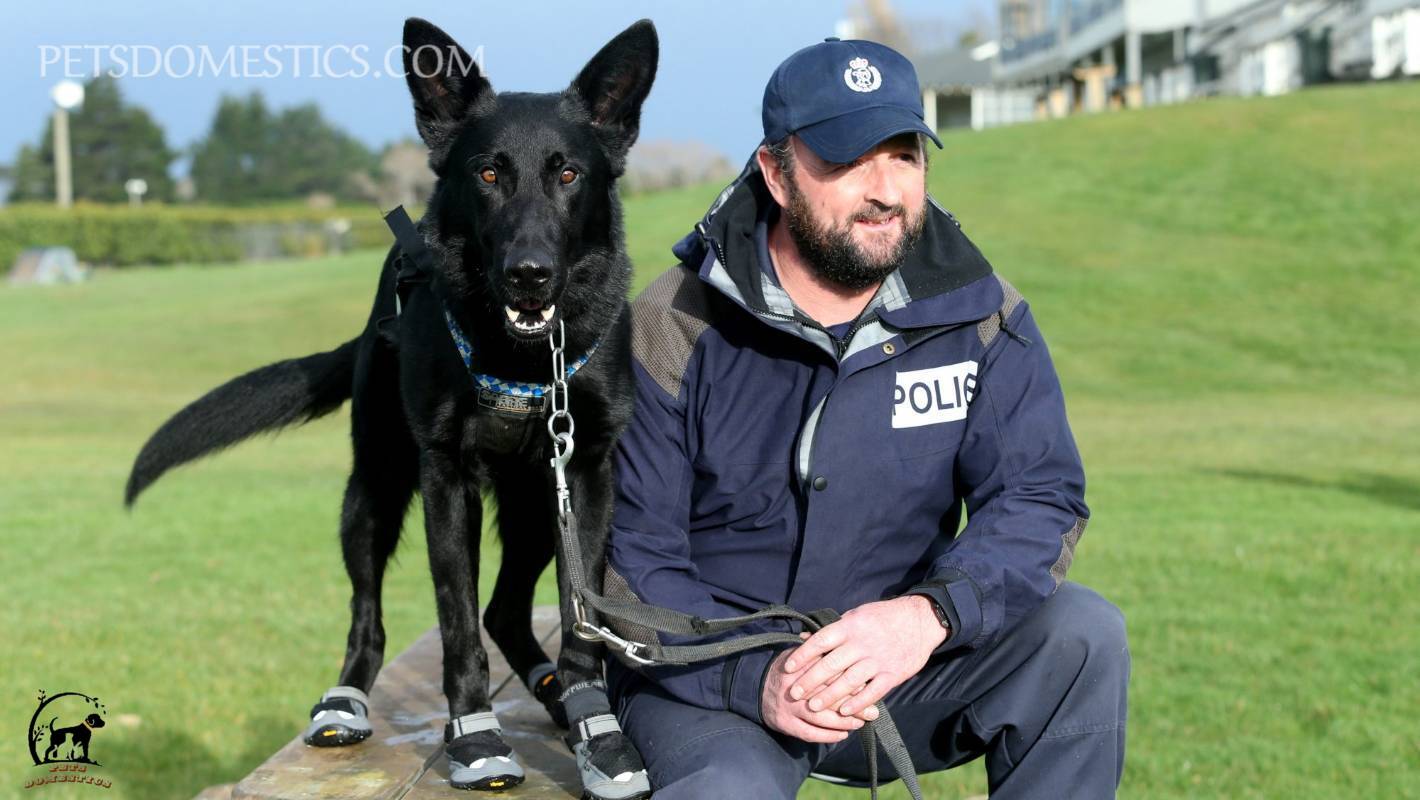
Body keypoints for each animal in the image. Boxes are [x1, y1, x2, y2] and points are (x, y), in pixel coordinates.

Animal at [123, 15, 653, 795]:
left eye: (568, 174)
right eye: (487, 174)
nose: (528, 275)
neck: (522, 358)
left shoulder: (582, 474)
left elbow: (578, 615)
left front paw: (596, 728)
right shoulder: (444, 480)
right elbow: (456, 622)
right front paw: (474, 734)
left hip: (532, 504)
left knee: (505, 610)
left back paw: (556, 695)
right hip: (374, 488)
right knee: (369, 613)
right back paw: (346, 697)